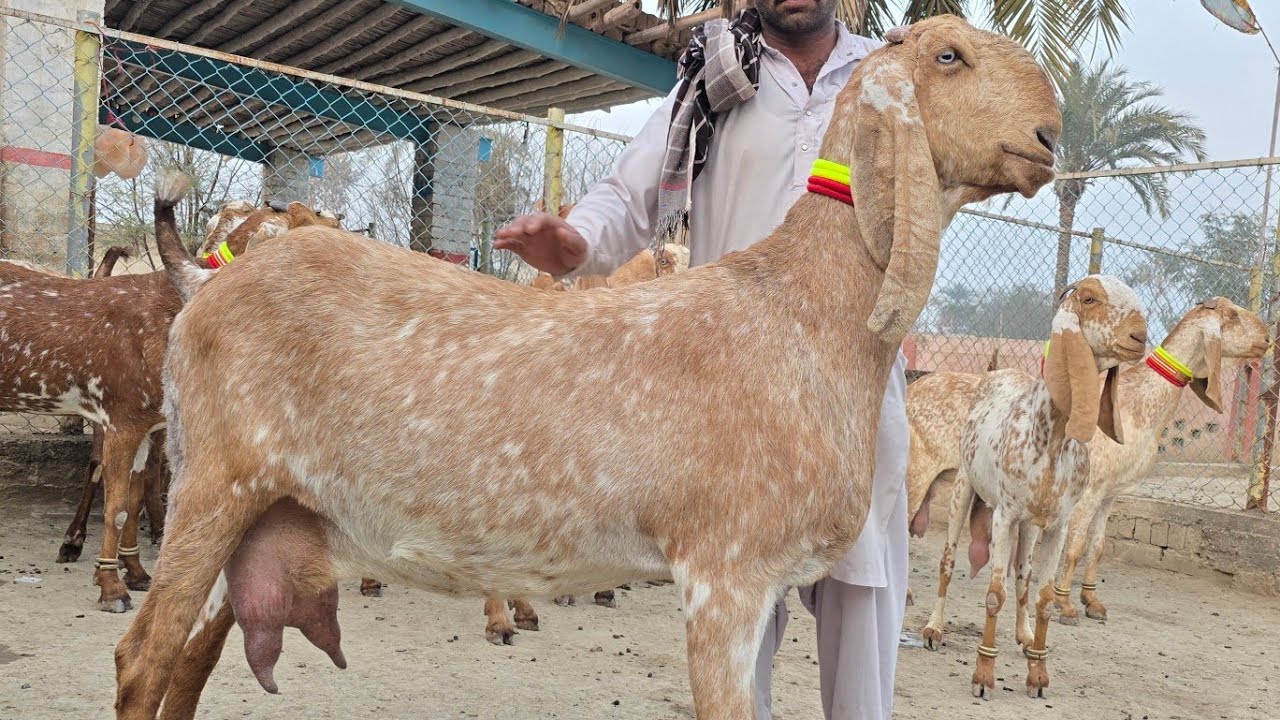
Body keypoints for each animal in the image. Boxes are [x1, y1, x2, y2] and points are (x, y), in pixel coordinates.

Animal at [116, 18, 1061, 719]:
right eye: (949, 55)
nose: (1050, 134)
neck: (801, 311)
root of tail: (208, 282)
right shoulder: (726, 572)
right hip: (211, 486)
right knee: (141, 660)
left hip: (263, 516)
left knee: (187, 666)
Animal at [919, 276, 1147, 700]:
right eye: (1089, 298)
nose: (1139, 336)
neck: (1050, 435)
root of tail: (995, 371)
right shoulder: (1005, 515)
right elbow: (995, 593)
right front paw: (983, 675)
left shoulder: (1057, 523)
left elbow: (1042, 595)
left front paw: (1038, 675)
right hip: (964, 489)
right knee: (947, 562)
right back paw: (934, 628)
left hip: (1029, 523)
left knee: (1023, 574)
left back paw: (1023, 635)